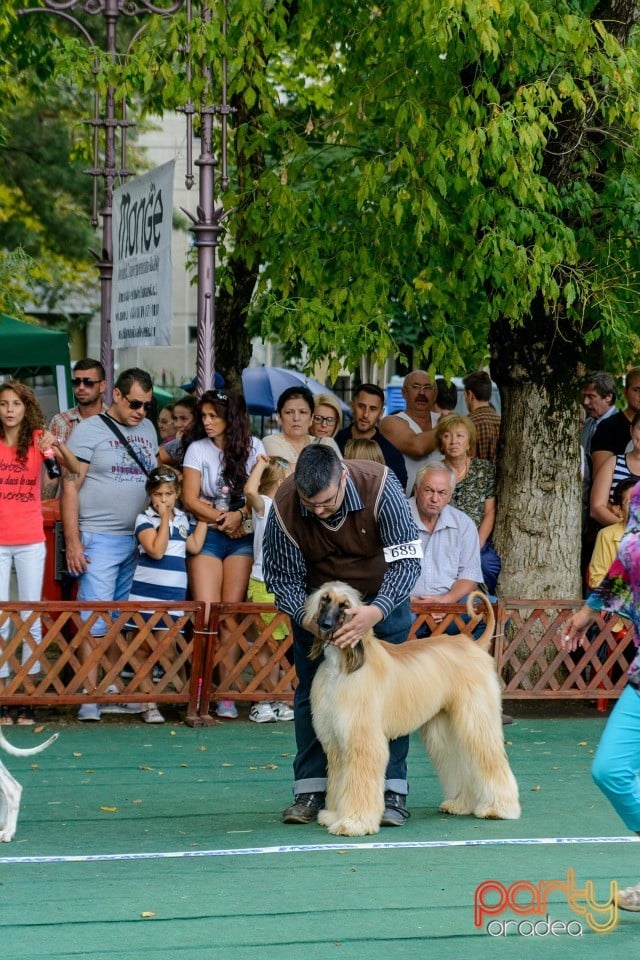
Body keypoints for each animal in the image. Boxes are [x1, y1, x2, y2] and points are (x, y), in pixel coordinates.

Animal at [308, 580, 524, 836]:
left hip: (475, 716)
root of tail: (474, 645)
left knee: (488, 756)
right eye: (324, 600)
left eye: (344, 606)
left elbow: (358, 780)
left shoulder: (361, 737)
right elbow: (339, 779)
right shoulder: (336, 737)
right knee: (458, 758)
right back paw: (460, 803)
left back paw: (499, 808)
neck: (343, 665)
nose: (325, 625)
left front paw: (353, 822)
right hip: (444, 723)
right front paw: (333, 815)